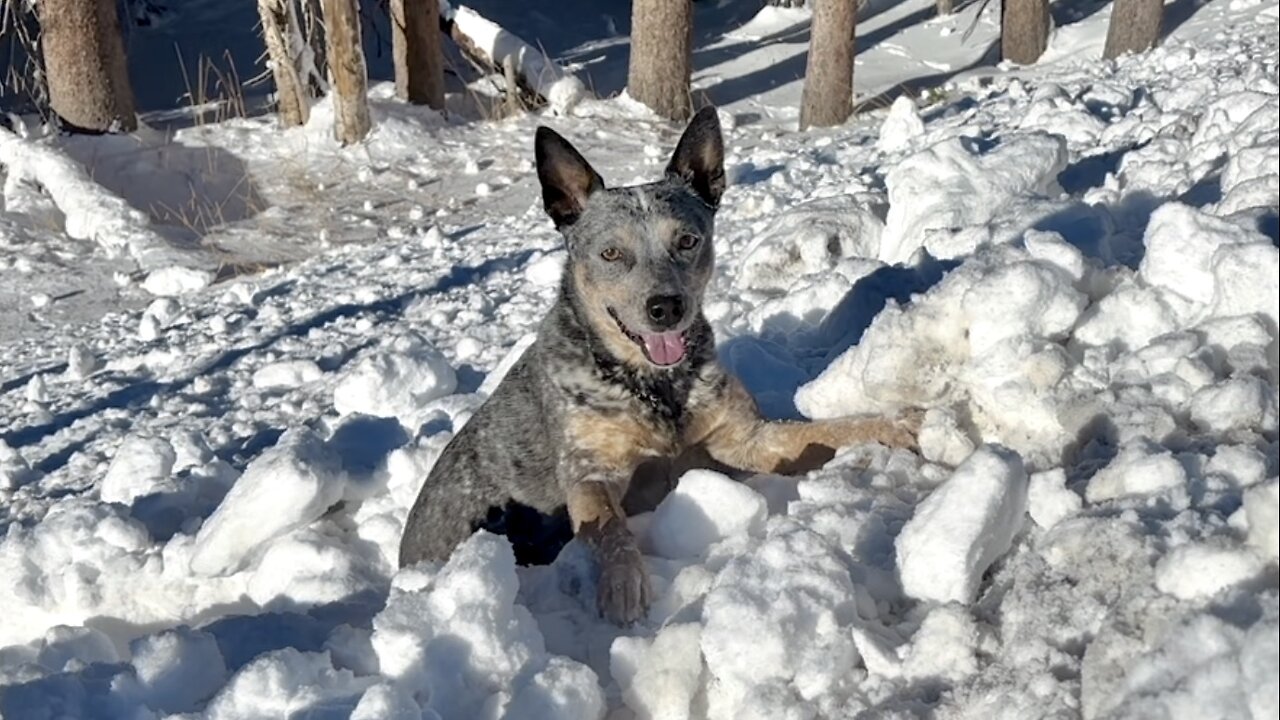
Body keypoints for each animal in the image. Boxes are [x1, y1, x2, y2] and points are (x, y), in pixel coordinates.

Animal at [399, 106, 921, 622]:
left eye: (687, 241)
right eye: (611, 253)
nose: (665, 307)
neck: (656, 386)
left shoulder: (744, 438)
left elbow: (826, 431)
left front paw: (898, 427)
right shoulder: (592, 471)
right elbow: (608, 525)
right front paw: (623, 587)